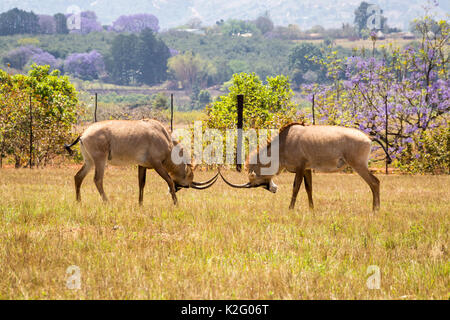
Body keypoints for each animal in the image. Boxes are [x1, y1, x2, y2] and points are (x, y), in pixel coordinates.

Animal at [64, 119, 218, 205]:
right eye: (186, 185)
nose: (173, 191)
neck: (164, 137)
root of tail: (83, 134)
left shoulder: (142, 165)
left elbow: (141, 184)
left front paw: (140, 204)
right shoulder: (157, 164)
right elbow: (168, 180)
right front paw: (176, 203)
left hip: (89, 161)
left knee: (78, 176)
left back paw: (78, 202)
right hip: (100, 160)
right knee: (97, 179)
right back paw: (107, 203)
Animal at [218, 124, 390, 211]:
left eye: (256, 182)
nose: (273, 189)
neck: (284, 142)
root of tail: (368, 137)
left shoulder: (300, 168)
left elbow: (296, 187)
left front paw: (290, 209)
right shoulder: (307, 169)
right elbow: (309, 188)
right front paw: (311, 209)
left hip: (358, 165)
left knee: (374, 182)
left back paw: (375, 209)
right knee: (375, 182)